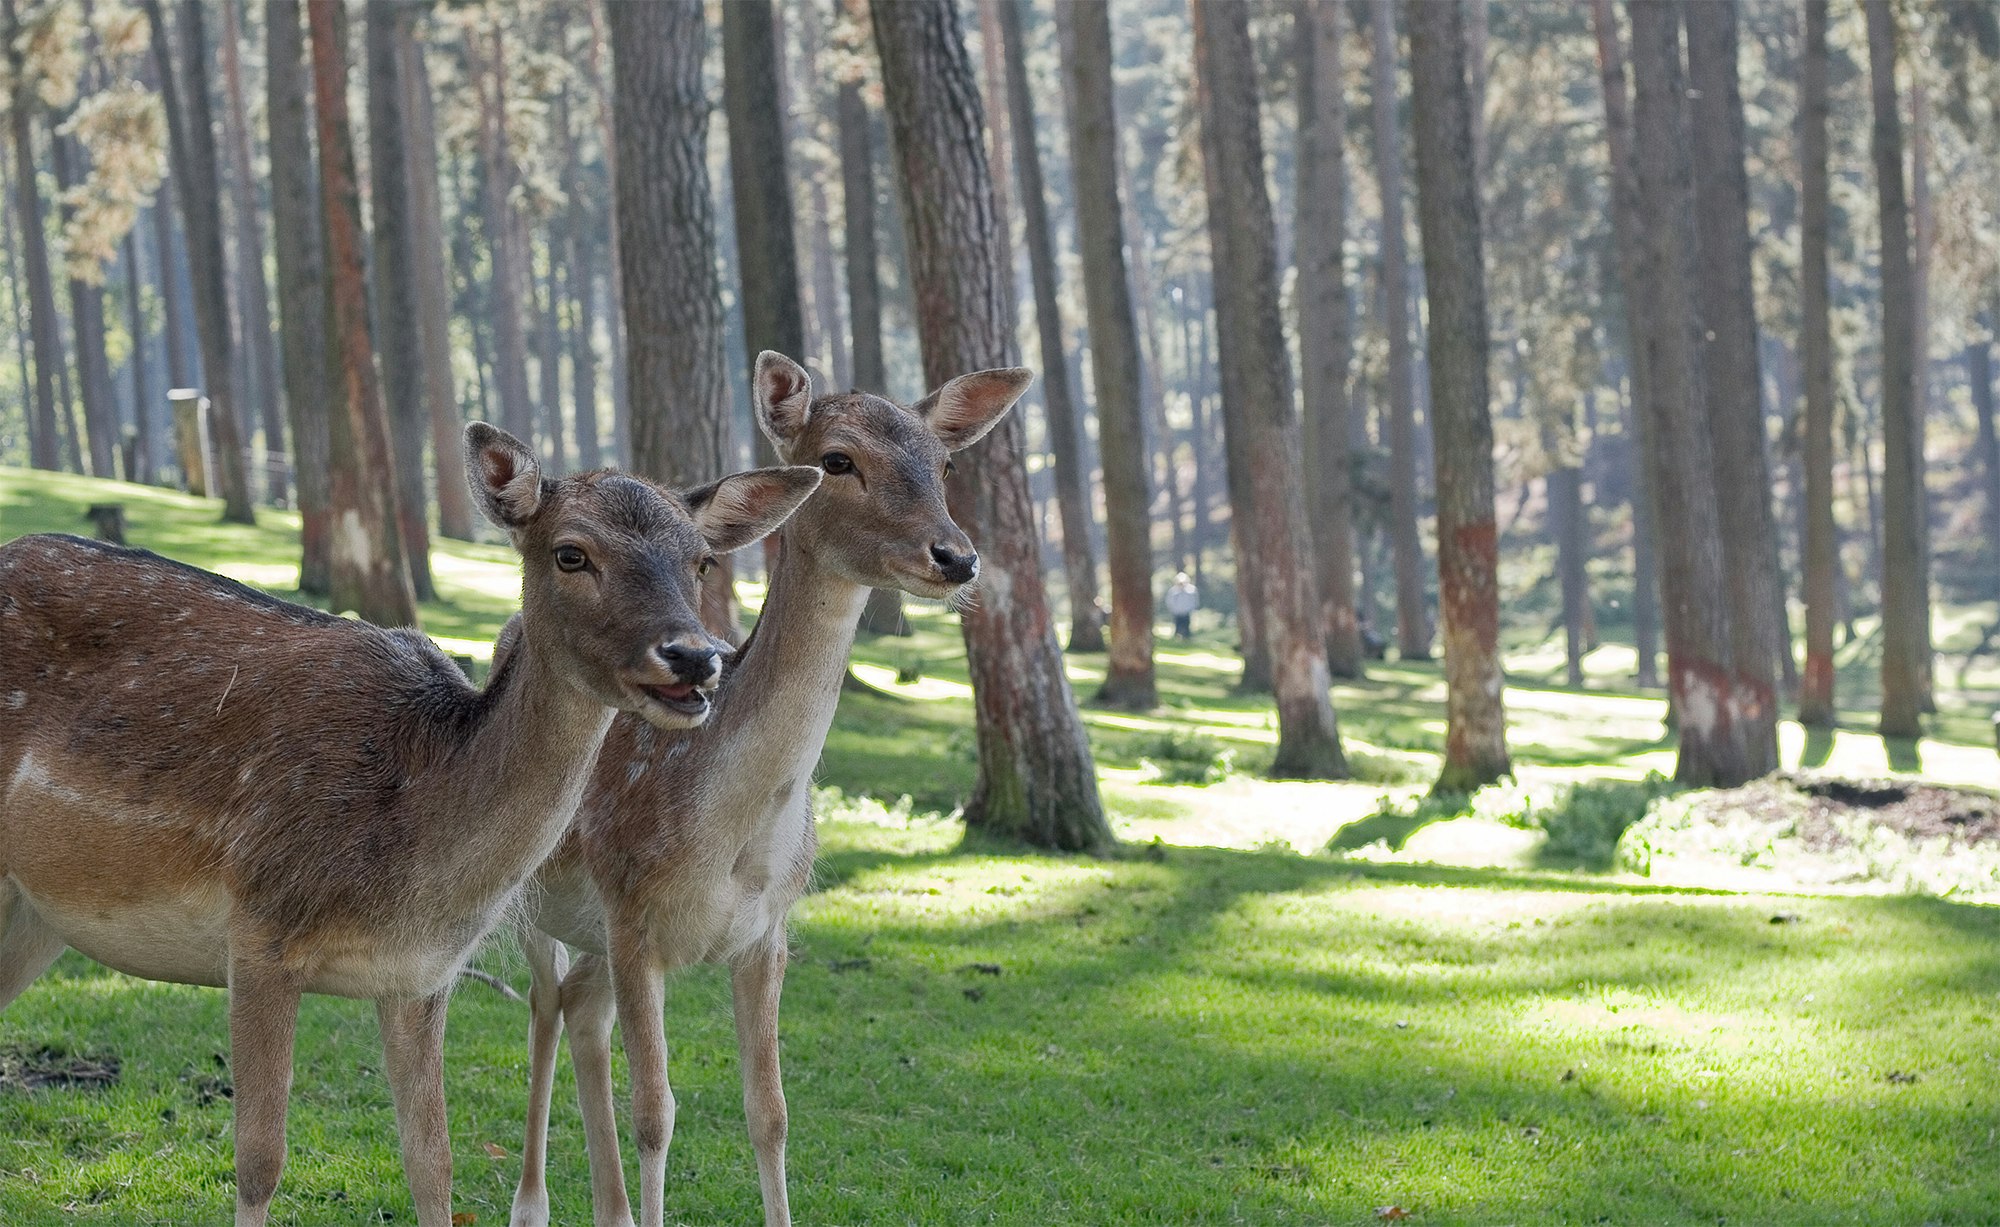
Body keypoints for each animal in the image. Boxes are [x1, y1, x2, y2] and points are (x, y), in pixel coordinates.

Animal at [0, 425, 820, 1227]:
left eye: (702, 559)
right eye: (571, 552)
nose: (693, 657)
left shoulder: (420, 977)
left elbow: (434, 1170)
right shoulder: (258, 928)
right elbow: (260, 1162)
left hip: (35, 913)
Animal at [512, 353, 1032, 1227]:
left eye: (946, 464)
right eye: (837, 460)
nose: (957, 556)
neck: (733, 838)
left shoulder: (768, 930)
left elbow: (773, 1112)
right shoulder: (632, 911)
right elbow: (657, 1112)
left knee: (581, 1008)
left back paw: (609, 1209)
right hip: (524, 891)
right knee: (545, 1006)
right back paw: (530, 1203)